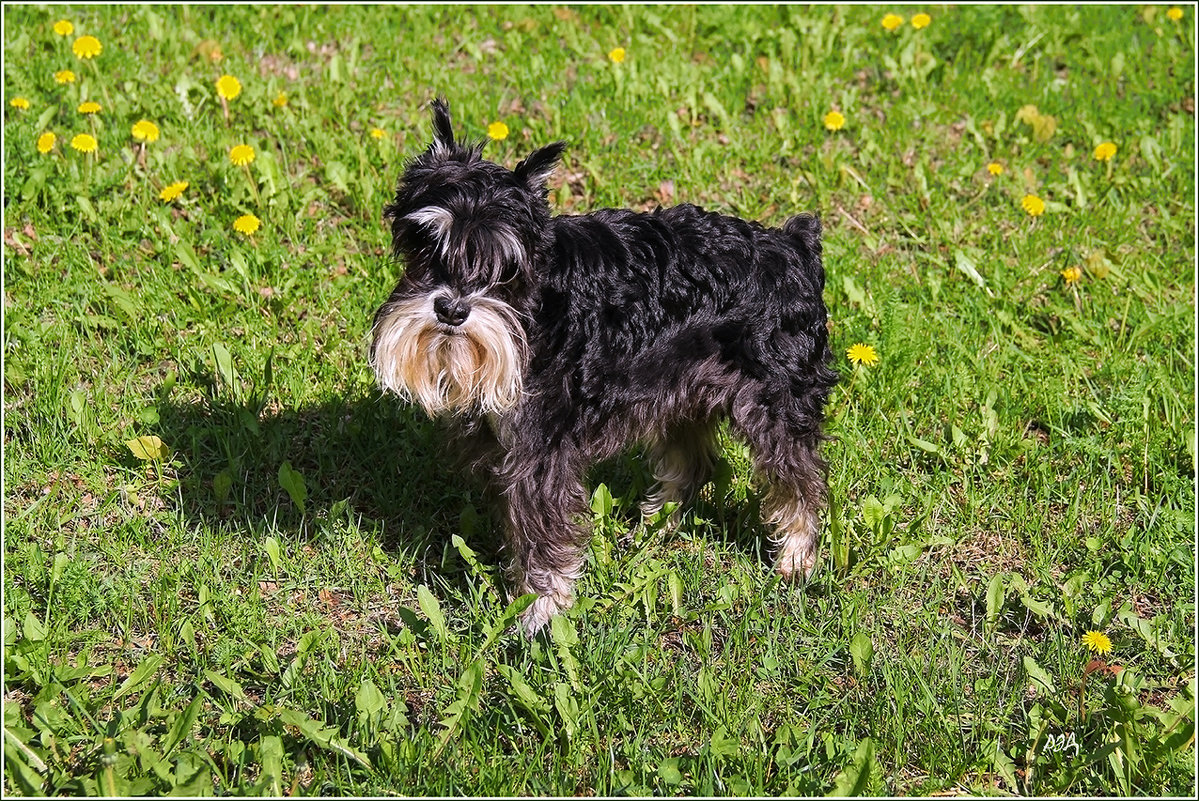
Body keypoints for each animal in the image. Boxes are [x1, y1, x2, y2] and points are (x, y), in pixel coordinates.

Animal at [369, 98, 839, 633]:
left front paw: (541, 613)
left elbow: (544, 540)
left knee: (800, 482)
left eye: (506, 266)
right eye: (426, 244)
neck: (540, 303)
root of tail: (796, 247)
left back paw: (796, 560)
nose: (451, 310)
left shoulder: (541, 457)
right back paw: (654, 526)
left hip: (777, 407)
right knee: (694, 464)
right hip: (679, 396)